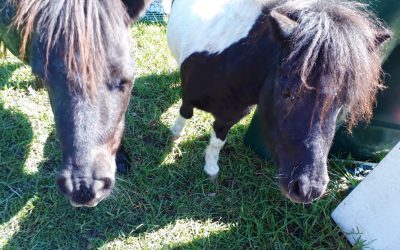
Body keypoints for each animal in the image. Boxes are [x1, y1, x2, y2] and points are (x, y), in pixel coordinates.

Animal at [167, 0, 392, 203]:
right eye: (287, 92)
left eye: (342, 104)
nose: (308, 189)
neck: (226, 63)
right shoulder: (188, 97)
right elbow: (185, 113)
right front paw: (175, 136)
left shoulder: (231, 115)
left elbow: (217, 142)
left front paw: (211, 169)